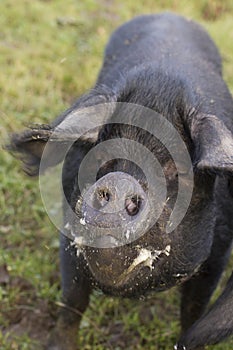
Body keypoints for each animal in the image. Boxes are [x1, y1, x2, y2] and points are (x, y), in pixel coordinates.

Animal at [8, 13, 233, 350]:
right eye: (103, 152)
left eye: (175, 169)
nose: (119, 183)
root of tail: (169, 14)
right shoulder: (69, 233)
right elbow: (72, 300)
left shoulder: (217, 255)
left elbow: (193, 311)